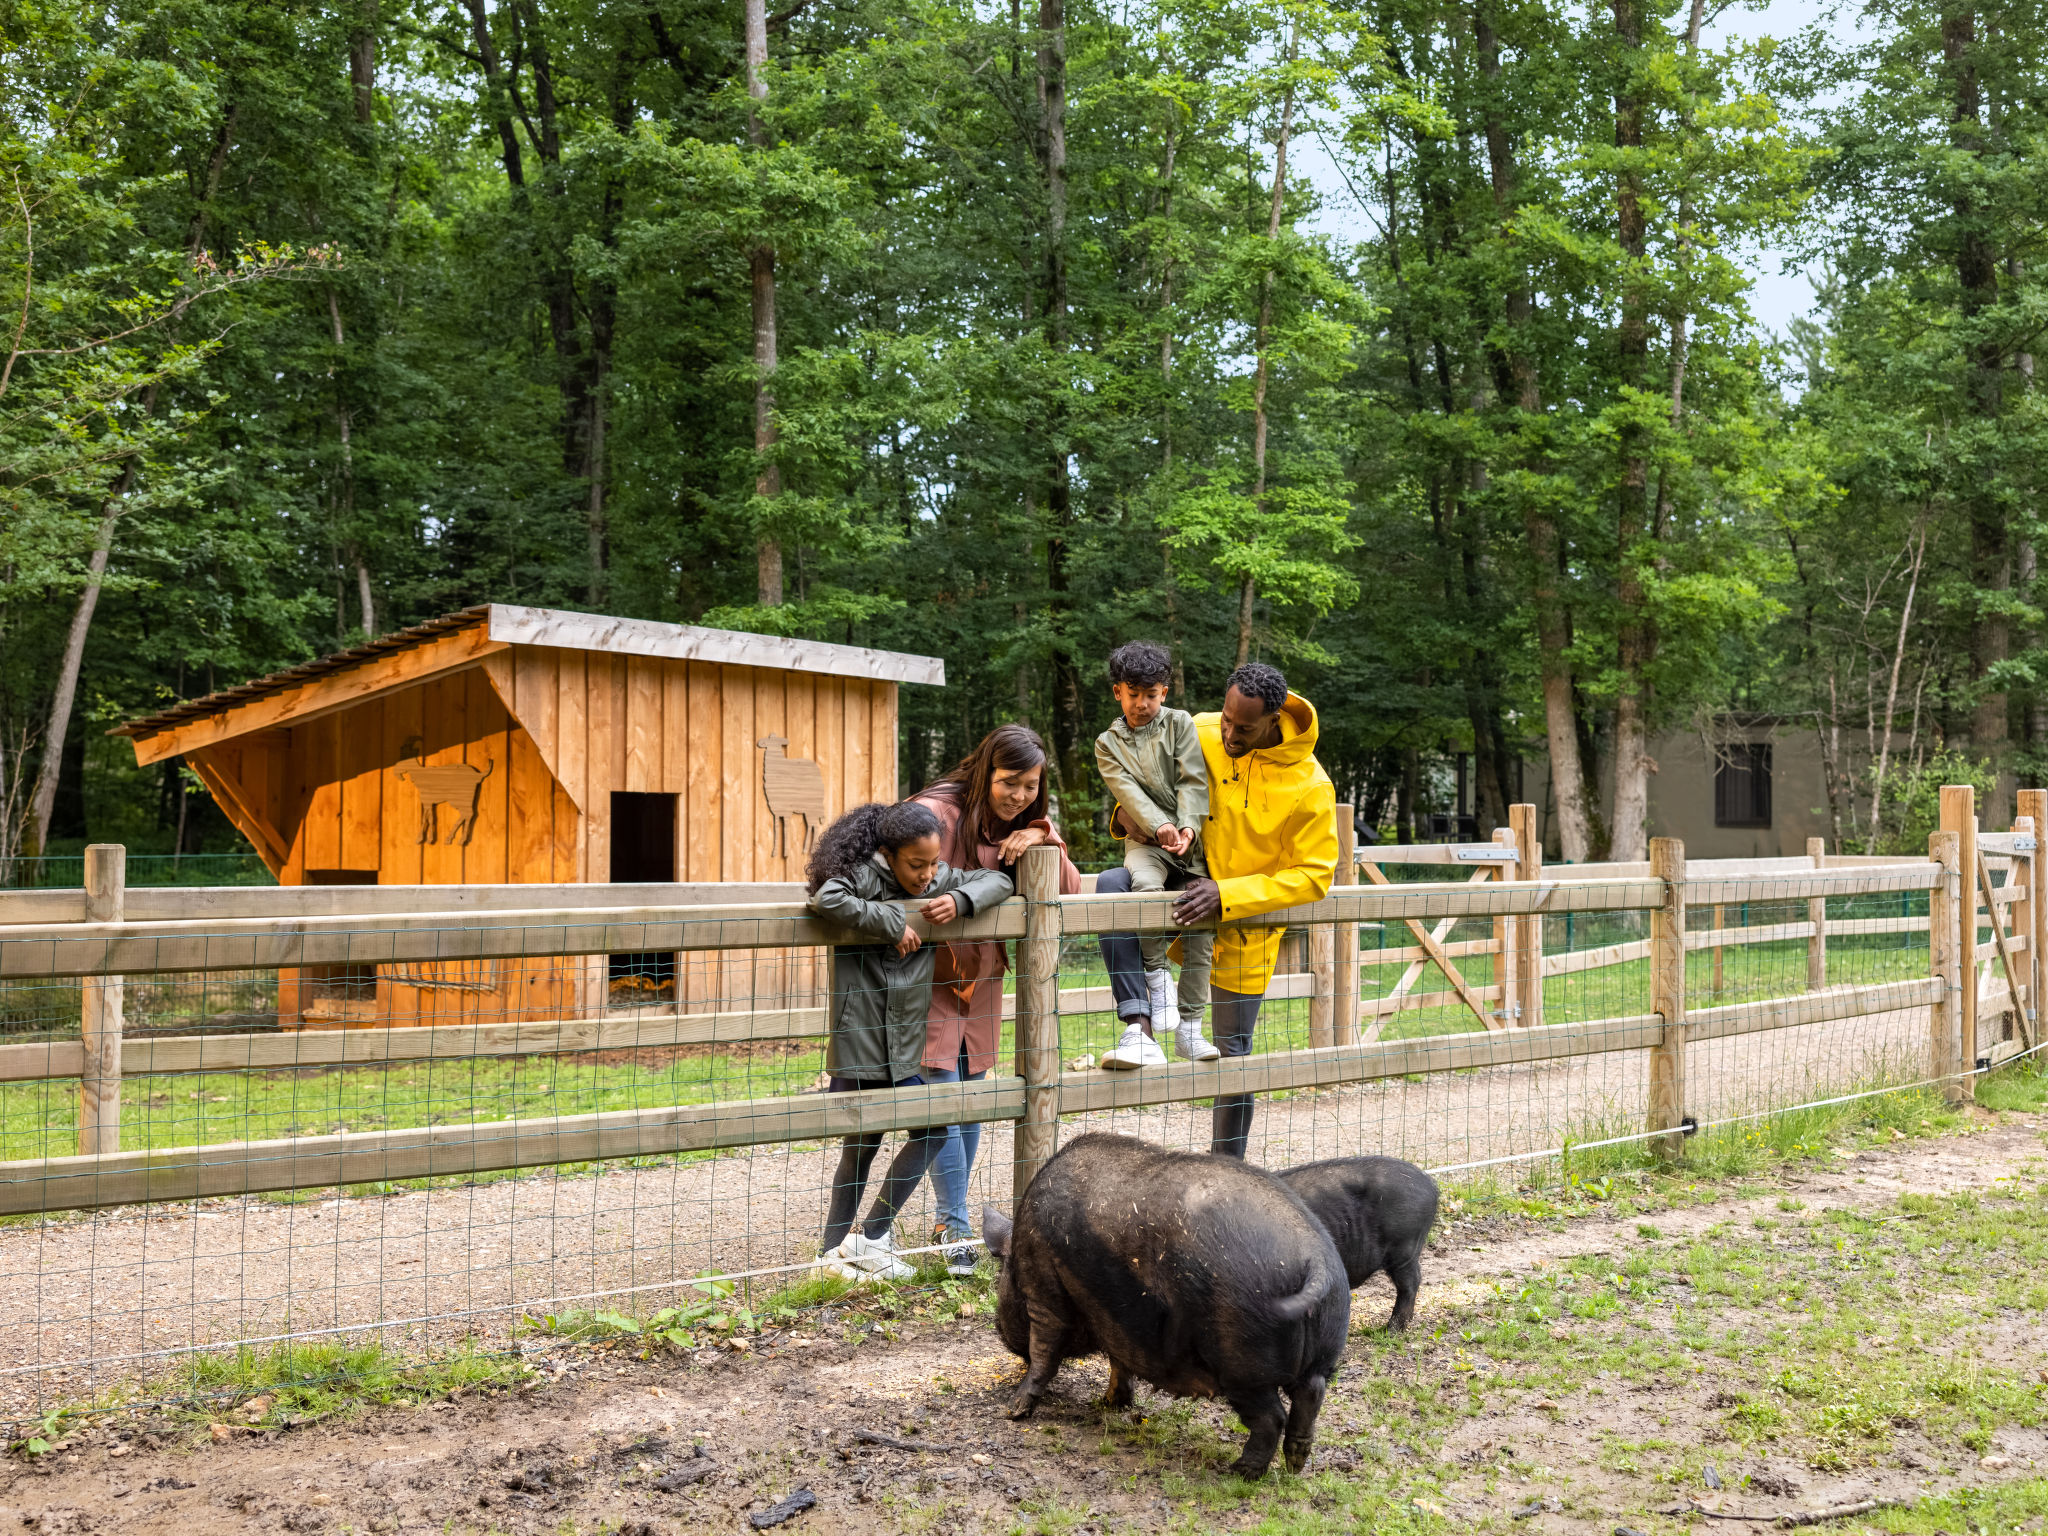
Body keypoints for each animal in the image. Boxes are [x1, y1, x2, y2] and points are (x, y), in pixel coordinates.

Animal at [983, 1130, 1351, 1482]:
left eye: (1002, 1279)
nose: (998, 1328)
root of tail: (1315, 1261)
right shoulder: (1118, 1320)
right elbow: (1119, 1362)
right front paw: (1109, 1404)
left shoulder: (1043, 1289)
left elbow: (1044, 1353)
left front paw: (1013, 1410)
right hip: (1322, 1350)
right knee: (1311, 1395)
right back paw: (1294, 1465)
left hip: (1244, 1364)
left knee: (1272, 1417)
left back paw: (1240, 1473)